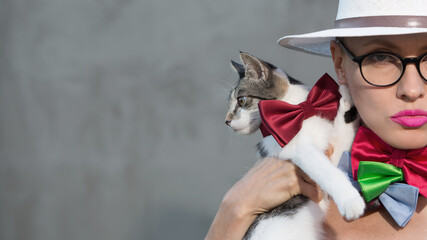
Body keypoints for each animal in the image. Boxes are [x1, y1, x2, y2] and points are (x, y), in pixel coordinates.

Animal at [226, 52, 366, 240]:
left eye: (241, 100)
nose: (226, 121)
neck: (302, 112)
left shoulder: (334, 151)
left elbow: (343, 140)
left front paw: (347, 97)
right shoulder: (297, 149)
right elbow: (327, 171)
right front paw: (351, 201)